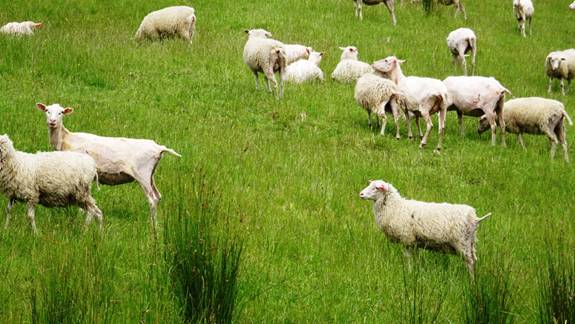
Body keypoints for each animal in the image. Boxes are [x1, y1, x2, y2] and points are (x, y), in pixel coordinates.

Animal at [36, 102, 180, 229]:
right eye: (47, 110)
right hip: (151, 175)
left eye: (61, 112)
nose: (52, 121)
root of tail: (158, 148)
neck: (66, 140)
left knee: (152, 199)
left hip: (142, 174)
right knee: (158, 196)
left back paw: (152, 227)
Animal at [360, 178, 490, 274]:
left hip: (462, 242)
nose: (360, 194)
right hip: (471, 242)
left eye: (376, 188)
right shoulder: (414, 242)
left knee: (470, 262)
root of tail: (475, 218)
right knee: (474, 260)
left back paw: (472, 284)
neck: (395, 207)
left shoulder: (407, 239)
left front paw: (409, 272)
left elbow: (408, 258)